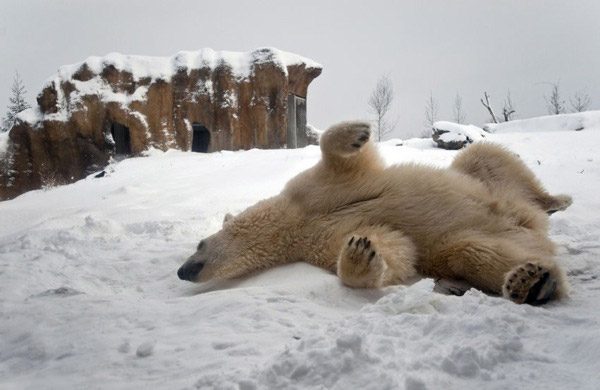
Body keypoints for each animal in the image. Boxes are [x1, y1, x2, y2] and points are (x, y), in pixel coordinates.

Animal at [177, 120, 572, 304]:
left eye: (199, 243)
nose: (182, 271)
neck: (298, 222)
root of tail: (529, 223)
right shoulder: (319, 240)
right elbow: (397, 248)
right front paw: (361, 253)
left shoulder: (314, 188)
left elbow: (343, 159)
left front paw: (356, 132)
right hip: (481, 238)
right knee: (472, 251)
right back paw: (531, 282)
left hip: (489, 184)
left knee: (484, 156)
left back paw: (557, 200)